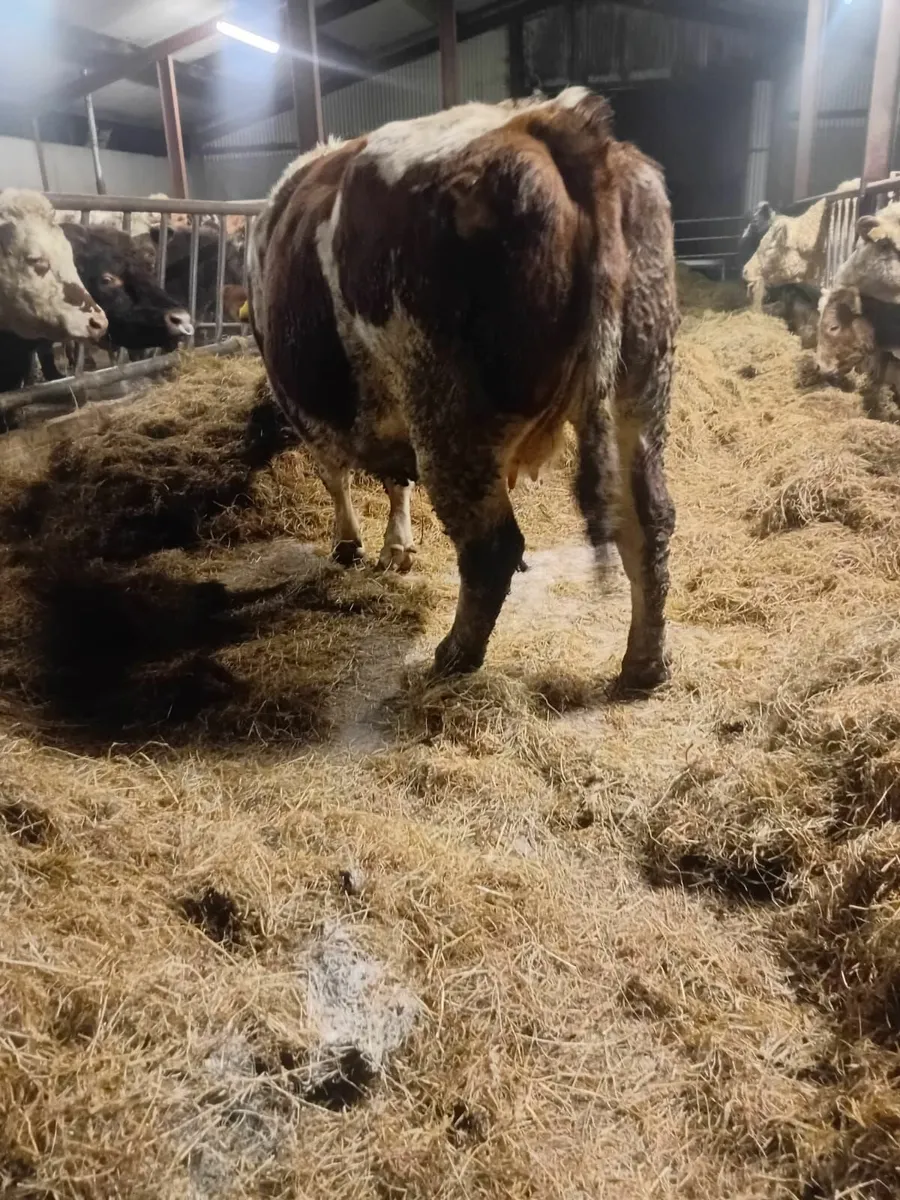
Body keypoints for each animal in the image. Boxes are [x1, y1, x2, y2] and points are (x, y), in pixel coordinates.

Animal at [247, 89, 678, 687]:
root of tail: (550, 119)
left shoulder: (308, 408)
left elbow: (337, 477)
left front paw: (350, 544)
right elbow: (393, 480)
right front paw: (395, 548)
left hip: (450, 410)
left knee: (491, 547)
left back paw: (454, 654)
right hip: (640, 388)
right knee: (649, 520)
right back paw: (644, 663)